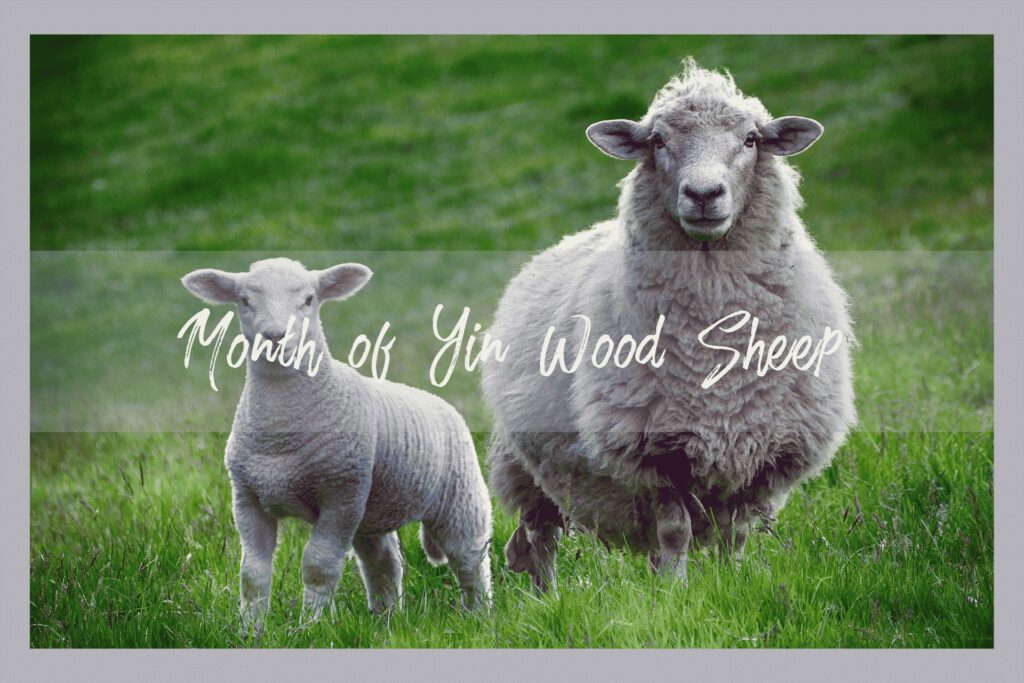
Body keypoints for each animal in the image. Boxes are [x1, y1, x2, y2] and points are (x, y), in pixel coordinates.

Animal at [181, 258, 492, 631]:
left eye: (309, 300)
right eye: (244, 300)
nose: (275, 337)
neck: (280, 431)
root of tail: (442, 404)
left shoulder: (340, 496)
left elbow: (318, 566)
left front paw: (309, 627)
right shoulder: (248, 499)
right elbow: (252, 574)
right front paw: (249, 630)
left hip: (458, 496)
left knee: (469, 557)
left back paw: (478, 616)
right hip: (371, 509)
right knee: (383, 563)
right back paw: (385, 619)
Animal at [481, 59, 856, 591]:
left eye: (750, 140)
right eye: (658, 141)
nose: (703, 194)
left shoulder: (761, 453)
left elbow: (735, 535)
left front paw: (730, 584)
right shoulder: (654, 454)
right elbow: (676, 531)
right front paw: (676, 594)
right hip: (527, 467)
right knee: (539, 539)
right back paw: (547, 597)